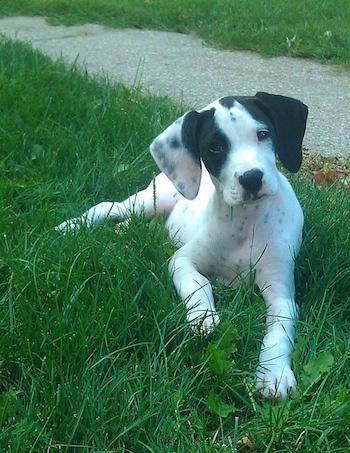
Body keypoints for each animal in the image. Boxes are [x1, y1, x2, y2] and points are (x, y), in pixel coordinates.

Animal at [57, 92, 308, 400]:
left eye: (263, 134)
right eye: (215, 147)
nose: (251, 178)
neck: (245, 222)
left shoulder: (281, 292)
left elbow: (279, 330)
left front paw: (274, 373)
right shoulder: (181, 260)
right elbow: (199, 285)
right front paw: (203, 318)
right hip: (152, 200)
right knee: (109, 206)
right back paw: (70, 226)